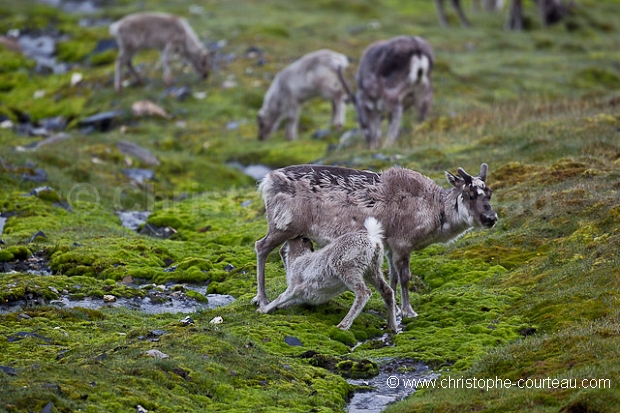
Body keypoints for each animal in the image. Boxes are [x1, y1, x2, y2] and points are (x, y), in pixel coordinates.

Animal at [254, 163, 496, 318]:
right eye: (470, 194)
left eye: (490, 193)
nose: (491, 218)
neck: (436, 211)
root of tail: (267, 181)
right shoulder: (403, 243)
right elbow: (405, 277)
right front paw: (408, 311)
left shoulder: (389, 246)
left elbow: (393, 278)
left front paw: (396, 309)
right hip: (283, 224)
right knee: (261, 246)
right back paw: (262, 299)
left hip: (293, 231)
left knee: (282, 251)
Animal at [258, 217, 398, 330]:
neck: (298, 259)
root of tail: (372, 240)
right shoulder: (301, 297)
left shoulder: (294, 286)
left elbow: (280, 297)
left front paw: (262, 310)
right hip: (372, 270)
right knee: (387, 291)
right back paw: (392, 327)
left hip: (347, 269)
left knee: (364, 293)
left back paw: (342, 325)